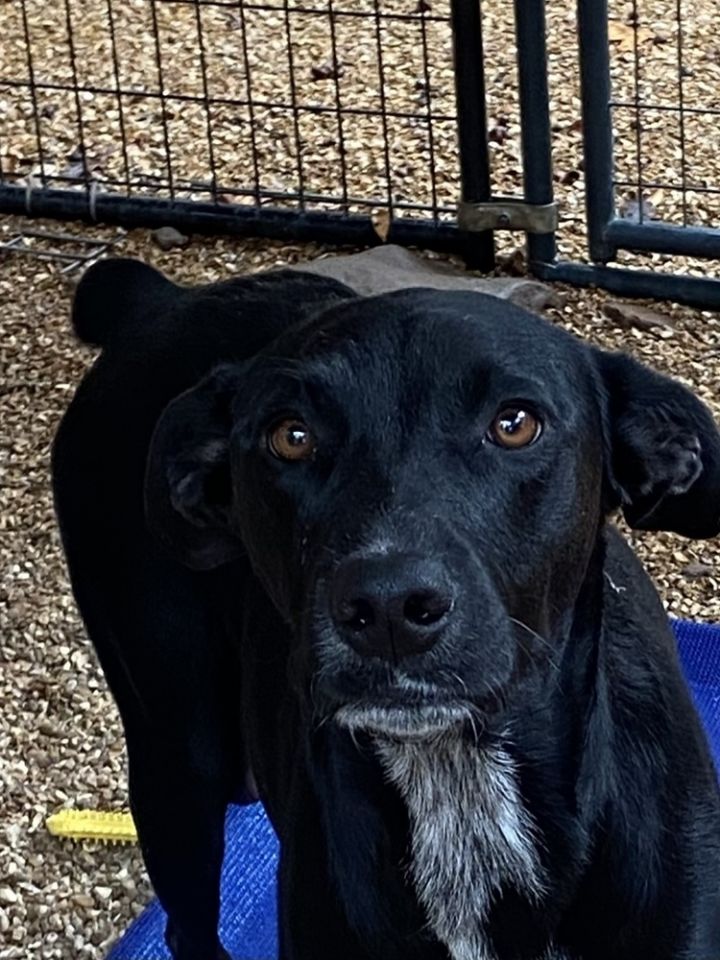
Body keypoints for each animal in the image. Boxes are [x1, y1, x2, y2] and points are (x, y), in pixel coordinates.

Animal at [53, 256, 720, 960]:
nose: (389, 606)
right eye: (291, 436)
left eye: (515, 424)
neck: (461, 785)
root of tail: (163, 301)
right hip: (177, 756)